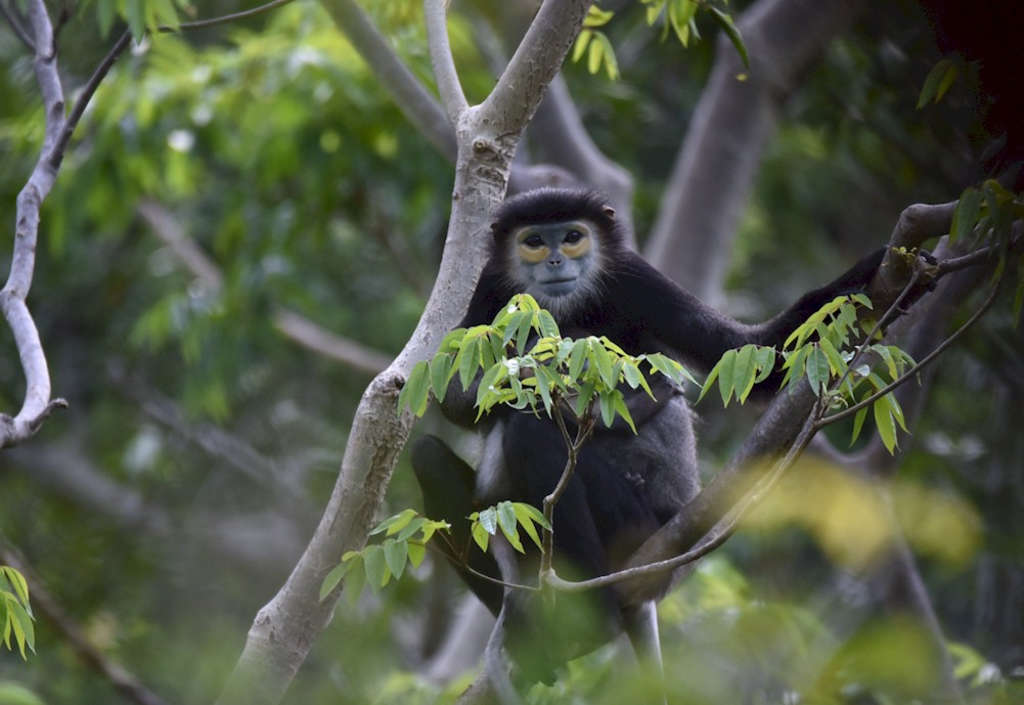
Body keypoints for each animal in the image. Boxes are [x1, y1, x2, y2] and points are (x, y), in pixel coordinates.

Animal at [411, 188, 884, 688]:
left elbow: (748, 354)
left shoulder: (635, 277)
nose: (556, 260)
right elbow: (452, 395)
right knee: (429, 456)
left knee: (530, 432)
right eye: (534, 241)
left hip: (637, 526)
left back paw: (591, 613)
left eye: (573, 237)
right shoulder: (491, 285)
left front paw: (872, 267)